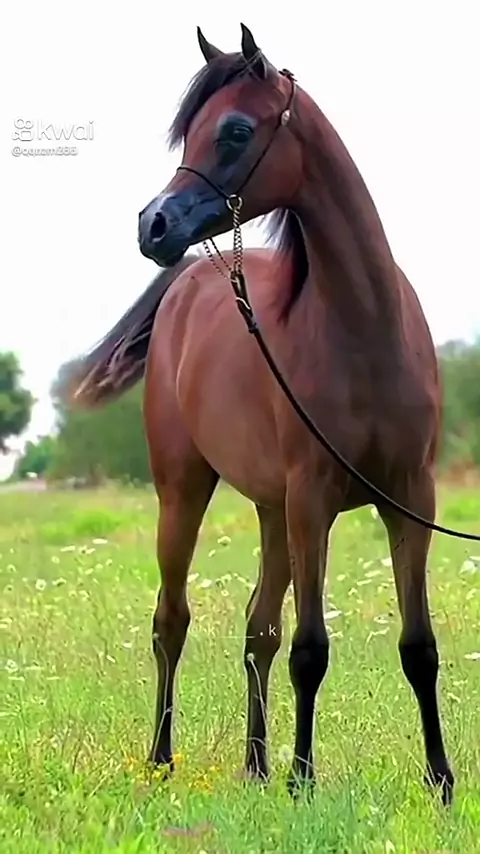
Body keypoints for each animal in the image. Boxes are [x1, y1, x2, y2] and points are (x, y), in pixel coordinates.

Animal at [64, 24, 454, 804]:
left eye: (236, 131)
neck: (364, 332)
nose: (153, 224)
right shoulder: (312, 500)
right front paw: (304, 780)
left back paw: (256, 764)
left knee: (258, 628)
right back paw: (165, 759)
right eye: (189, 132)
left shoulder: (409, 501)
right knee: (173, 621)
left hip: (273, 512)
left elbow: (417, 646)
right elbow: (311, 648)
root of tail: (188, 282)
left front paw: (441, 780)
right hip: (187, 491)